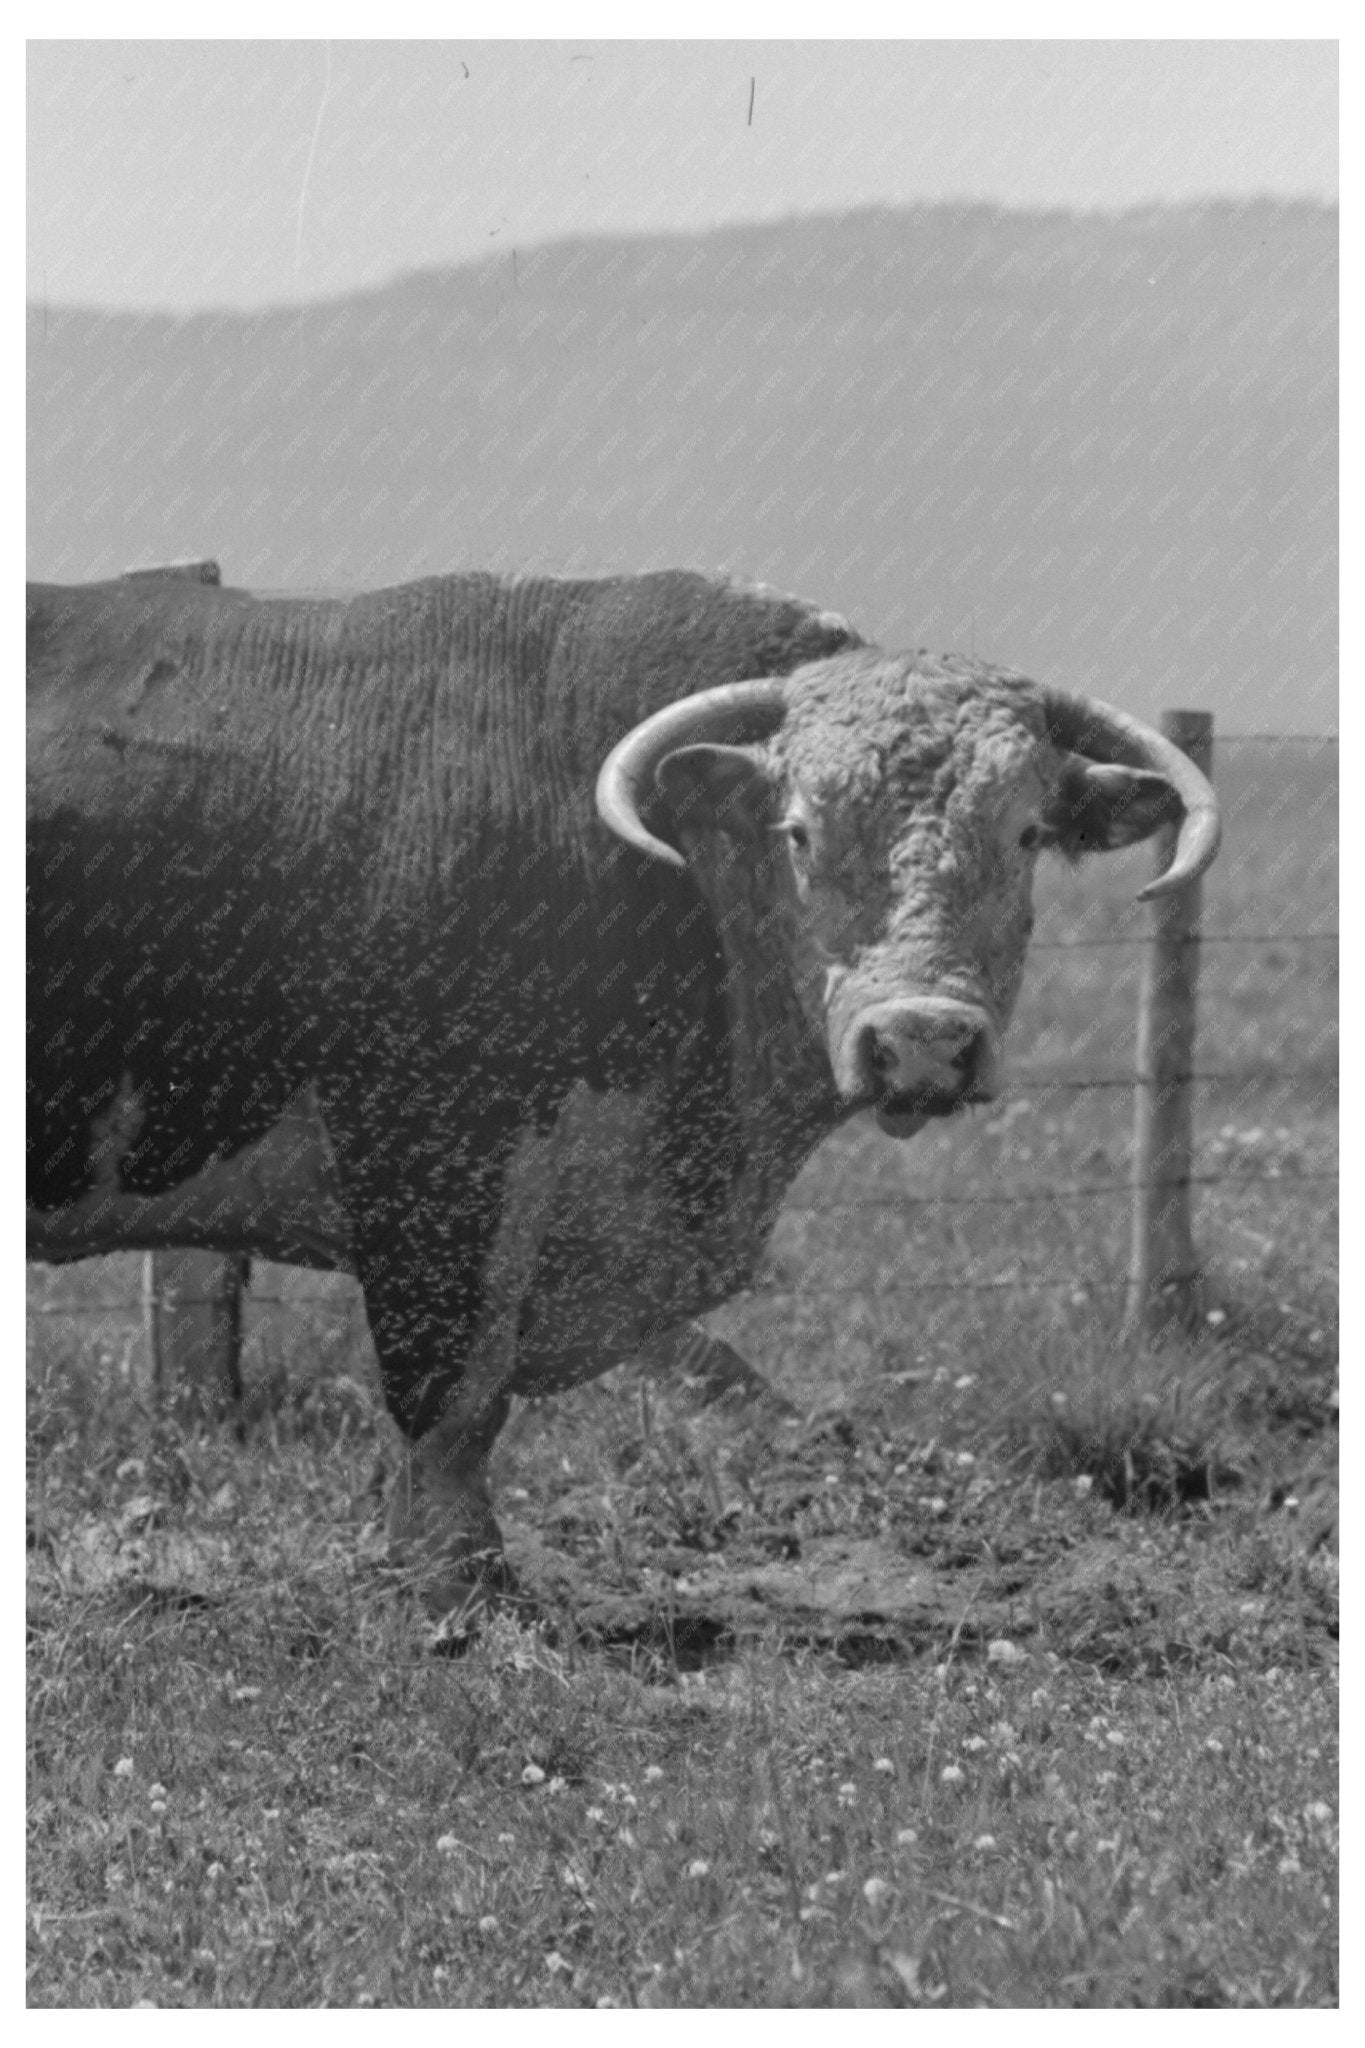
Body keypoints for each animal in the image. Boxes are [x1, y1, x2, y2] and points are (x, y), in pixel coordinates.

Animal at [27, 567, 1219, 1611]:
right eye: (799, 831)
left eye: (1024, 832)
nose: (920, 1039)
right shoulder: (438, 1172)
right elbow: (447, 1398)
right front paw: (452, 1585)